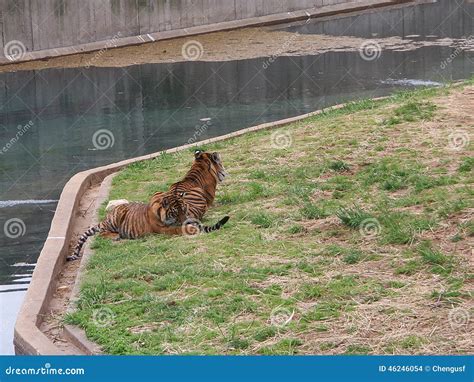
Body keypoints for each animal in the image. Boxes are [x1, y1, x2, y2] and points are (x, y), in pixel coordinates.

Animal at [67, 190, 230, 262]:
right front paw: (191, 228)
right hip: (114, 219)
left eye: (184, 209)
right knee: (102, 232)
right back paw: (116, 236)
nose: (185, 220)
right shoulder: (163, 229)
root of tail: (107, 217)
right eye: (175, 212)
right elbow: (178, 228)